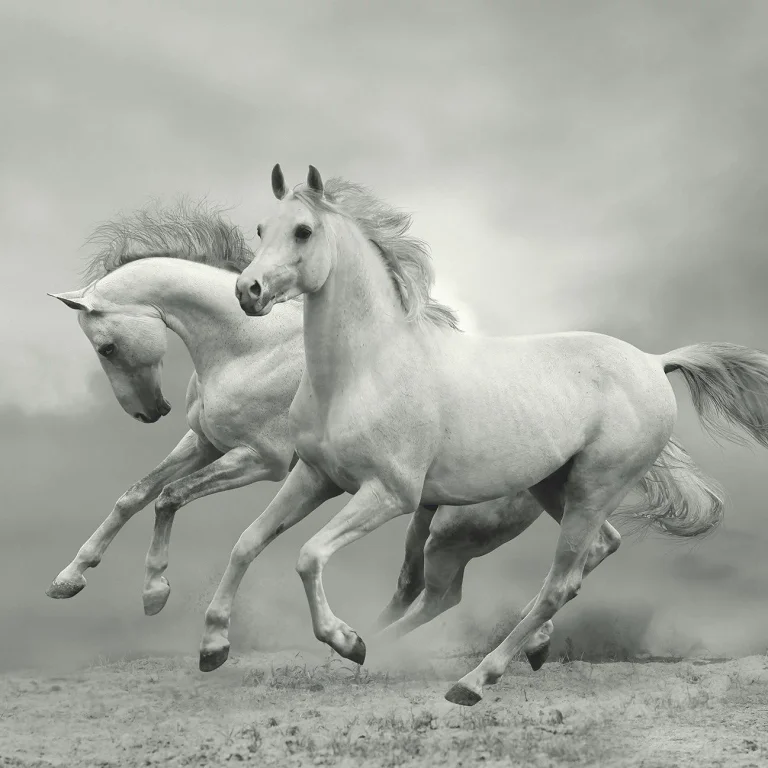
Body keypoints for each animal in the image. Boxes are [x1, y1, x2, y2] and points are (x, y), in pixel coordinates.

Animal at [208, 163, 768, 706]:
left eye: (303, 231)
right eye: (261, 229)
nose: (247, 291)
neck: (364, 370)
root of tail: (654, 361)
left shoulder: (388, 494)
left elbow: (308, 555)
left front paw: (347, 641)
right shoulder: (315, 477)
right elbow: (247, 542)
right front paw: (213, 645)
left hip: (593, 489)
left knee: (557, 583)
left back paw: (474, 680)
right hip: (555, 487)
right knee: (593, 553)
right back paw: (519, 648)